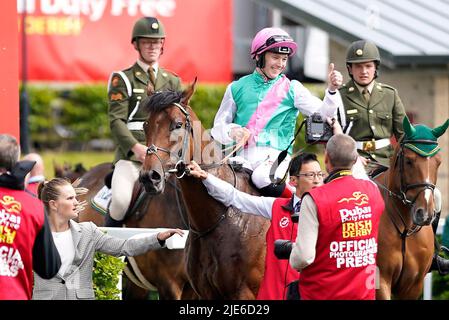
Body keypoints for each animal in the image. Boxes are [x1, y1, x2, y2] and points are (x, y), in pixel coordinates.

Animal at [374, 117, 448, 300]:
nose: (425, 214)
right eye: (408, 161)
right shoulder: (381, 280)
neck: (405, 228)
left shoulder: (414, 284)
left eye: (438, 162)